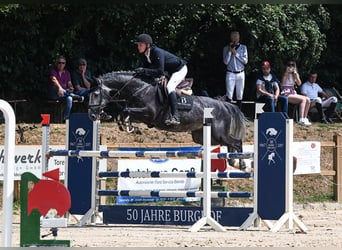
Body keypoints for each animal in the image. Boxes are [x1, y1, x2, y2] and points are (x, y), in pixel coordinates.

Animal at [87, 71, 248, 167]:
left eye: (95, 94)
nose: (92, 115)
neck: (138, 89)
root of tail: (224, 105)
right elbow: (123, 113)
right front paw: (128, 126)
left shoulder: (149, 113)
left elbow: (124, 111)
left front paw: (128, 126)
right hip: (203, 137)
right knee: (229, 144)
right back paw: (232, 160)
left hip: (218, 134)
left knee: (237, 142)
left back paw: (241, 163)